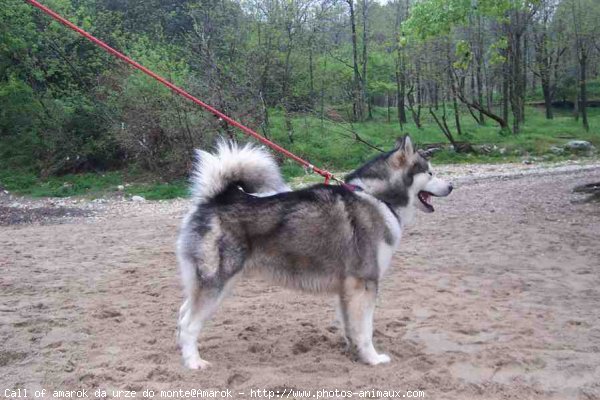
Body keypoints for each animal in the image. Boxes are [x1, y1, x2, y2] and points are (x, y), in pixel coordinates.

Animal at [176, 137, 452, 368]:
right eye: (430, 172)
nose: (450, 186)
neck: (377, 197)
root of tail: (216, 199)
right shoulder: (365, 284)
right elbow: (366, 330)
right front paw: (373, 359)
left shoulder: (347, 289)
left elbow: (351, 327)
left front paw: (354, 352)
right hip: (216, 284)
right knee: (189, 324)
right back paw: (194, 363)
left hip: (214, 284)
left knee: (182, 315)